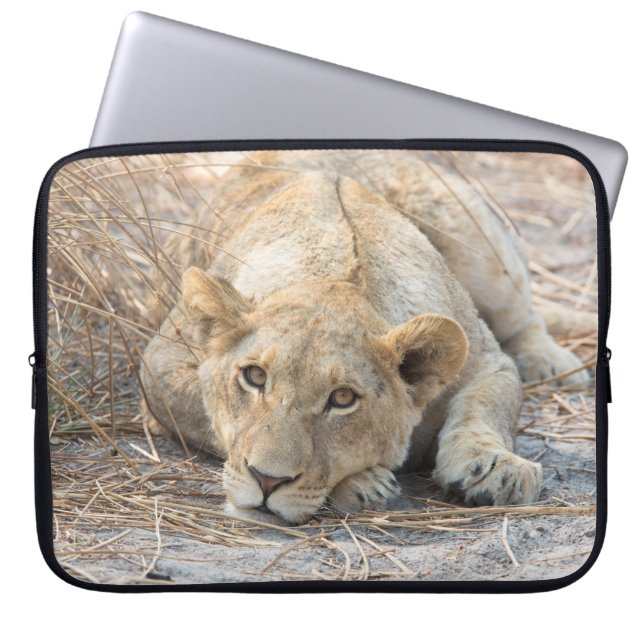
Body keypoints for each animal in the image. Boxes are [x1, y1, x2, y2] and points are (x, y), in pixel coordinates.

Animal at [140, 150, 589, 525]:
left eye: (342, 399)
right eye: (254, 377)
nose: (266, 480)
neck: (335, 272)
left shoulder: (489, 362)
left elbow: (487, 406)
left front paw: (497, 469)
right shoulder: (159, 365)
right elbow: (207, 415)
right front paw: (362, 483)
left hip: (481, 248)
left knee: (525, 316)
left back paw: (550, 361)